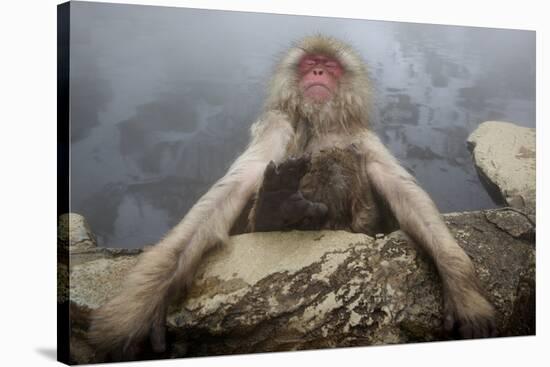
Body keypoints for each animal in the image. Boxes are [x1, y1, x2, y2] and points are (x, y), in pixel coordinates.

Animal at [89, 35, 496, 360]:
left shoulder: (360, 136)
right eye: (309, 64)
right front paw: (146, 303)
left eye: (329, 67)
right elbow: (235, 185)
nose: (316, 73)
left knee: (338, 161)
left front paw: (462, 289)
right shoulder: (277, 124)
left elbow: (401, 190)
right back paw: (277, 208)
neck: (318, 122)